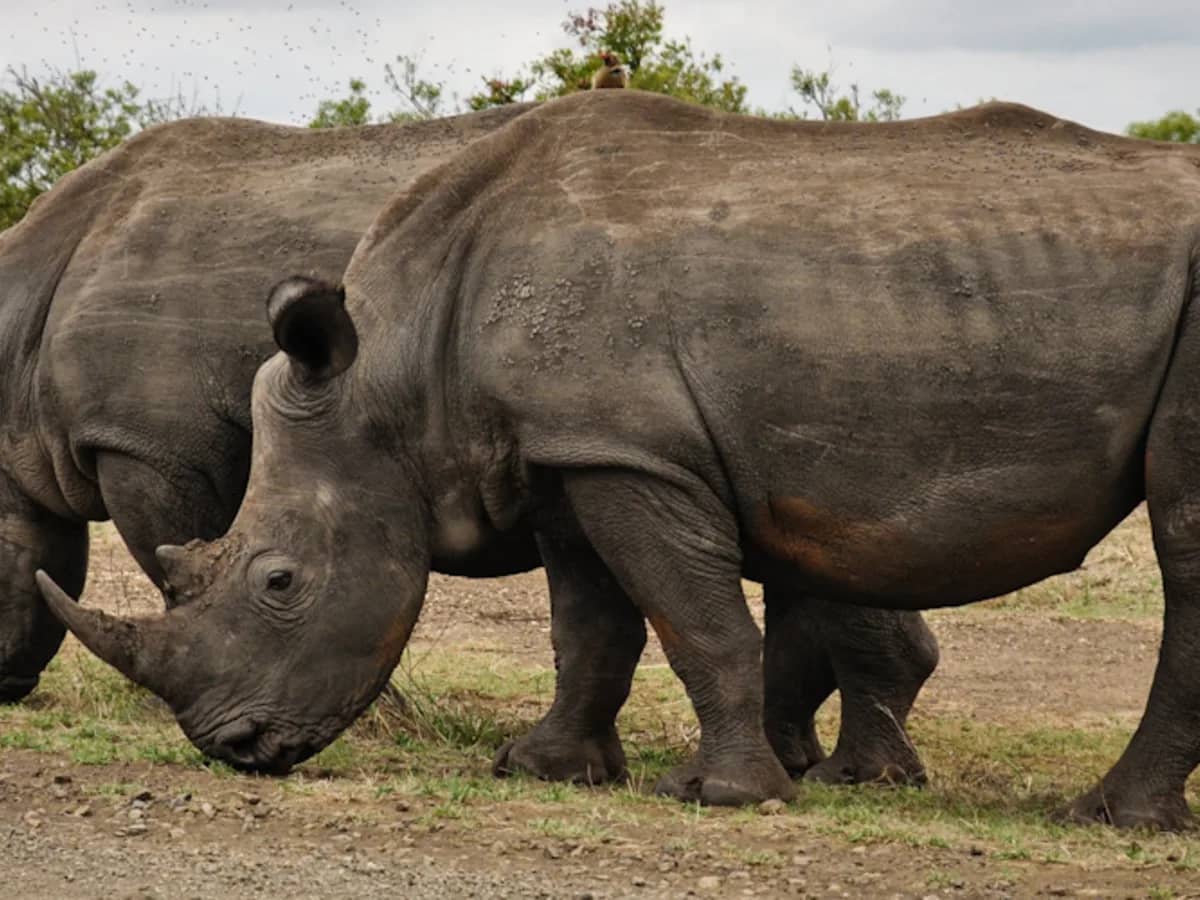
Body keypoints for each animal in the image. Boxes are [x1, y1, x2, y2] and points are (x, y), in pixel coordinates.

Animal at [0, 105, 938, 786]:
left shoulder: (150, 445)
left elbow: (171, 561)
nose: (3, 692)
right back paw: (821, 763)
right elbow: (32, 552)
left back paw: (836, 772)